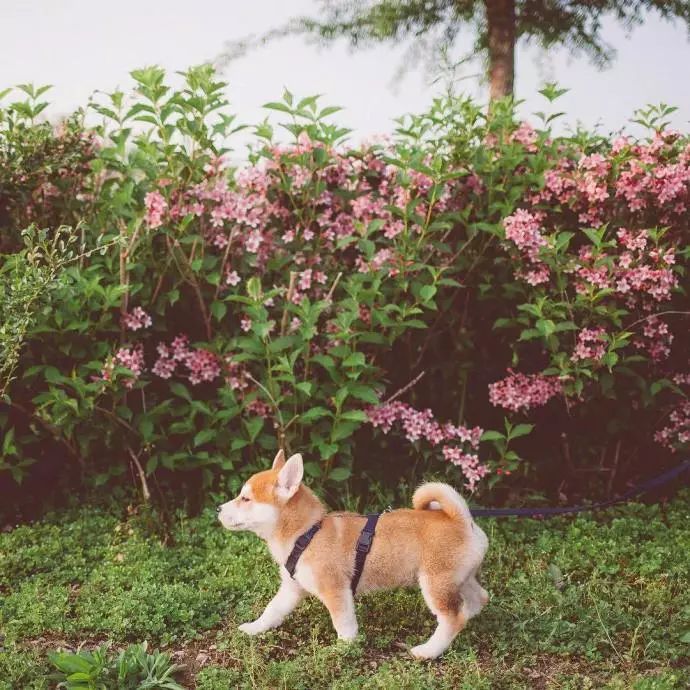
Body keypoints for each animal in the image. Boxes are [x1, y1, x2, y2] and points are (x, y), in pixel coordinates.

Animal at [218, 446, 486, 656]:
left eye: (246, 499)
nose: (217, 509)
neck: (307, 534)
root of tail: (462, 519)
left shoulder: (336, 591)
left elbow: (344, 625)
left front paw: (344, 650)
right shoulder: (291, 589)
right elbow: (271, 611)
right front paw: (254, 628)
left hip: (434, 584)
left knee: (452, 618)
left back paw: (429, 650)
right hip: (458, 580)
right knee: (477, 599)